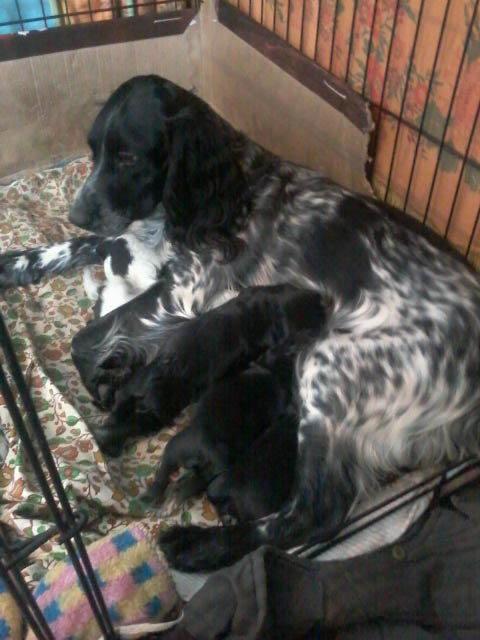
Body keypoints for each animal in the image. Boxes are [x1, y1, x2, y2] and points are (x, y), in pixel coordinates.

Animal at [1, 74, 480, 573]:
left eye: (127, 156)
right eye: (93, 150)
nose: (76, 212)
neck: (220, 190)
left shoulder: (183, 292)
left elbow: (86, 337)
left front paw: (105, 387)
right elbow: (87, 246)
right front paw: (15, 263)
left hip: (331, 366)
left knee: (310, 516)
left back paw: (196, 544)